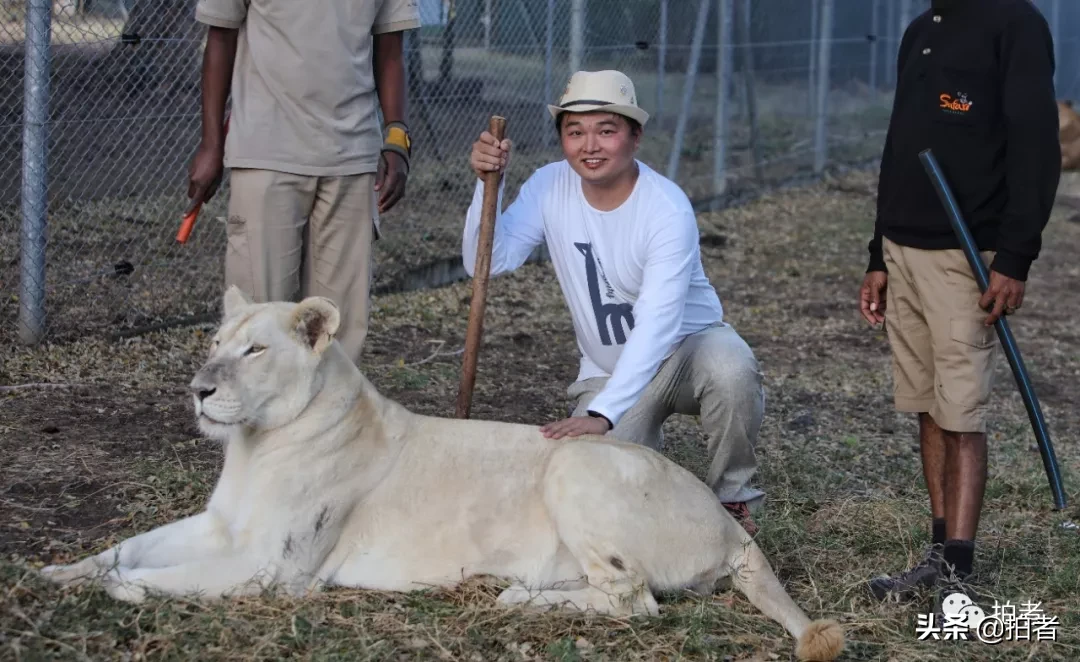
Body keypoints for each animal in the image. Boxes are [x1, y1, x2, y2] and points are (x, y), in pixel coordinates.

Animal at [42, 287, 846, 656]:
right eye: (214, 342)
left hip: (574, 463)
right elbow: (125, 546)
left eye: (255, 350)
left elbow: (166, 576)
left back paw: (521, 599)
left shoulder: (272, 569)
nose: (199, 390)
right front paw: (55, 574)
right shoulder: (219, 526)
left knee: (634, 601)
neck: (255, 444)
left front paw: (125, 592)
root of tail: (728, 524)